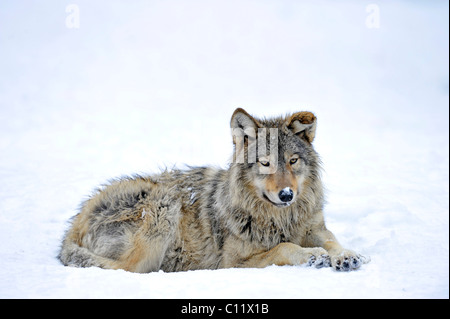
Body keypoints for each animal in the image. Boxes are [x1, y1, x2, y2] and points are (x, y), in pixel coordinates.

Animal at [59, 109, 370, 274]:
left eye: (293, 161)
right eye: (265, 163)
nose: (286, 195)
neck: (279, 219)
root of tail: (74, 225)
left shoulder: (314, 228)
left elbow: (332, 241)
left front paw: (346, 255)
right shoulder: (231, 264)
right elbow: (285, 247)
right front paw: (314, 256)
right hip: (163, 208)